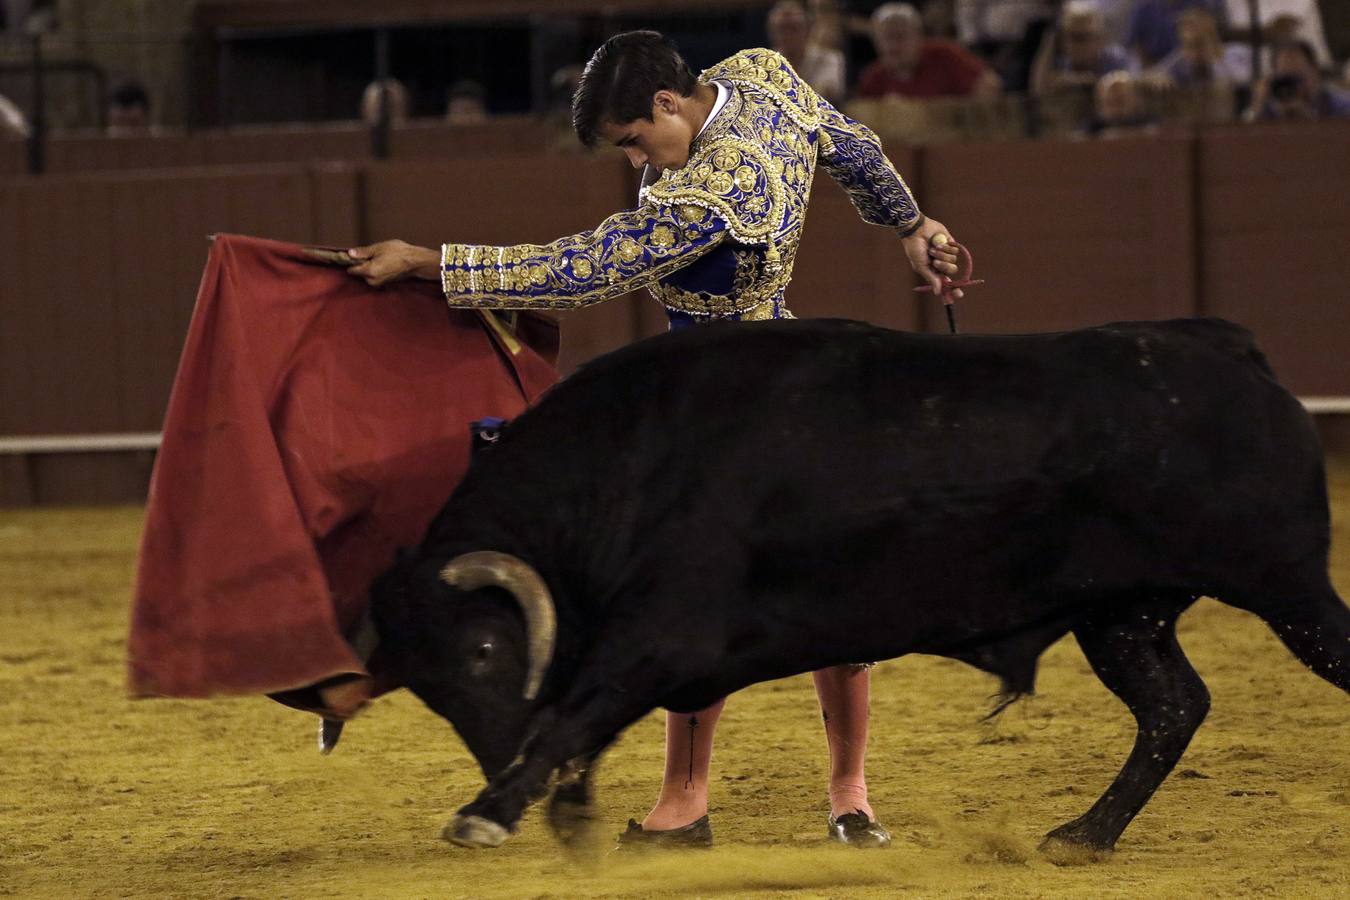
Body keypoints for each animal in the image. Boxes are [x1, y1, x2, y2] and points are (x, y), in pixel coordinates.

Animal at [364, 319, 1344, 858]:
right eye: (427, 689)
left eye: (484, 649)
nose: (495, 758)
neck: (632, 459)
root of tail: (1225, 346)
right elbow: (591, 727)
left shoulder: (662, 633)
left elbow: (578, 713)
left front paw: (488, 813)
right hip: (1124, 617)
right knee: (1174, 707)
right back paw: (1081, 837)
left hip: (1287, 587)